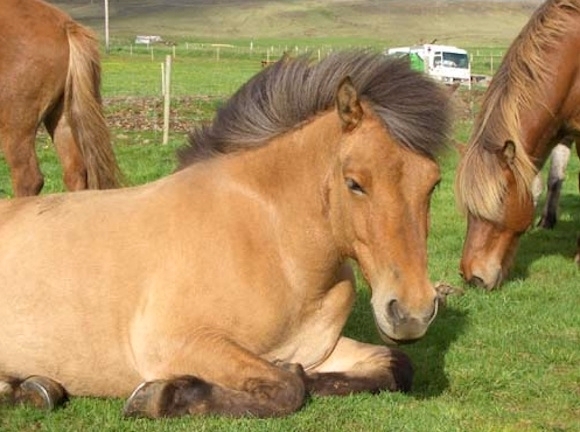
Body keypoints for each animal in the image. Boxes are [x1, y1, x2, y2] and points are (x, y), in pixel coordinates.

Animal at [0, 51, 454, 418]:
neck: (275, 246)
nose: (412, 313)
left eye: (433, 183)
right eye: (355, 183)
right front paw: (162, 397)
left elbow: (391, 367)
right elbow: (287, 388)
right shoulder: (179, 342)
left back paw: (34, 388)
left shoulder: (317, 349)